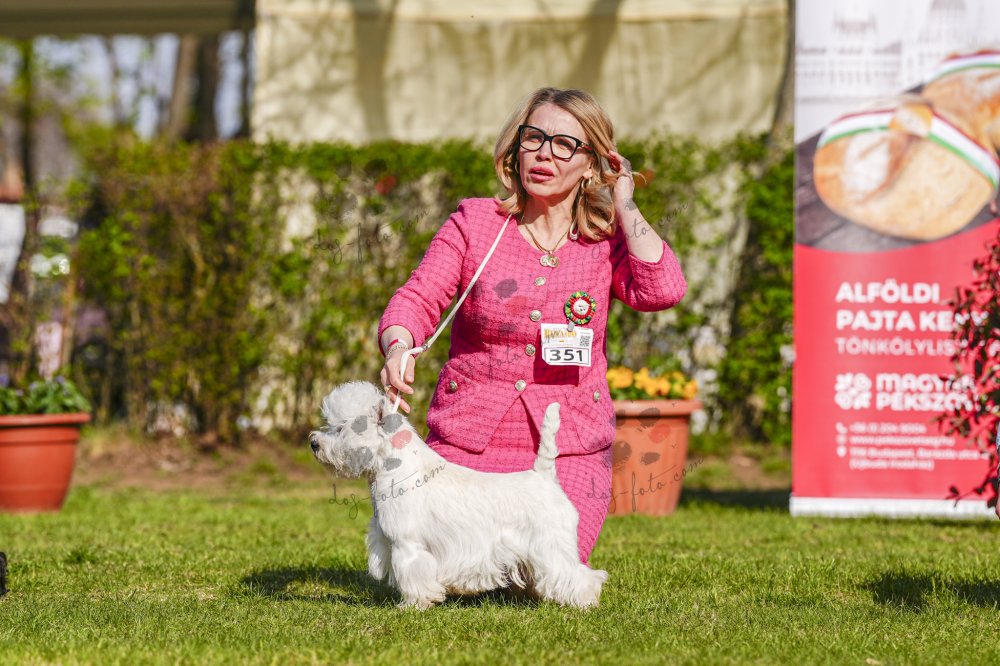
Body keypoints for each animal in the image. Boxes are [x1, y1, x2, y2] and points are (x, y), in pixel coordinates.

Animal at [309, 381, 608, 610]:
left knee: (579, 575)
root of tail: (544, 476)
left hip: (551, 545)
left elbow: (413, 576)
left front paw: (412, 605)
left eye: (342, 427)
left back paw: (585, 603)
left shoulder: (407, 544)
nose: (314, 443)